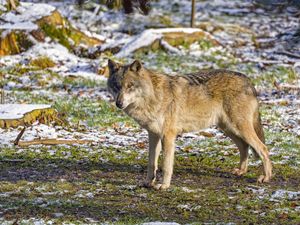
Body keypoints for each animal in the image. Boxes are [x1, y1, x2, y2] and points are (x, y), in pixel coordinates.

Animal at [106, 59, 272, 190]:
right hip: (229, 129)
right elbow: (151, 164)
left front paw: (164, 186)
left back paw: (266, 177)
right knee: (244, 147)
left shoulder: (168, 136)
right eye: (116, 86)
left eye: (130, 86)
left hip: (238, 128)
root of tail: (248, 80)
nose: (119, 103)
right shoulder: (153, 135)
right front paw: (148, 183)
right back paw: (241, 171)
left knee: (263, 148)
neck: (153, 96)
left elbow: (166, 165)